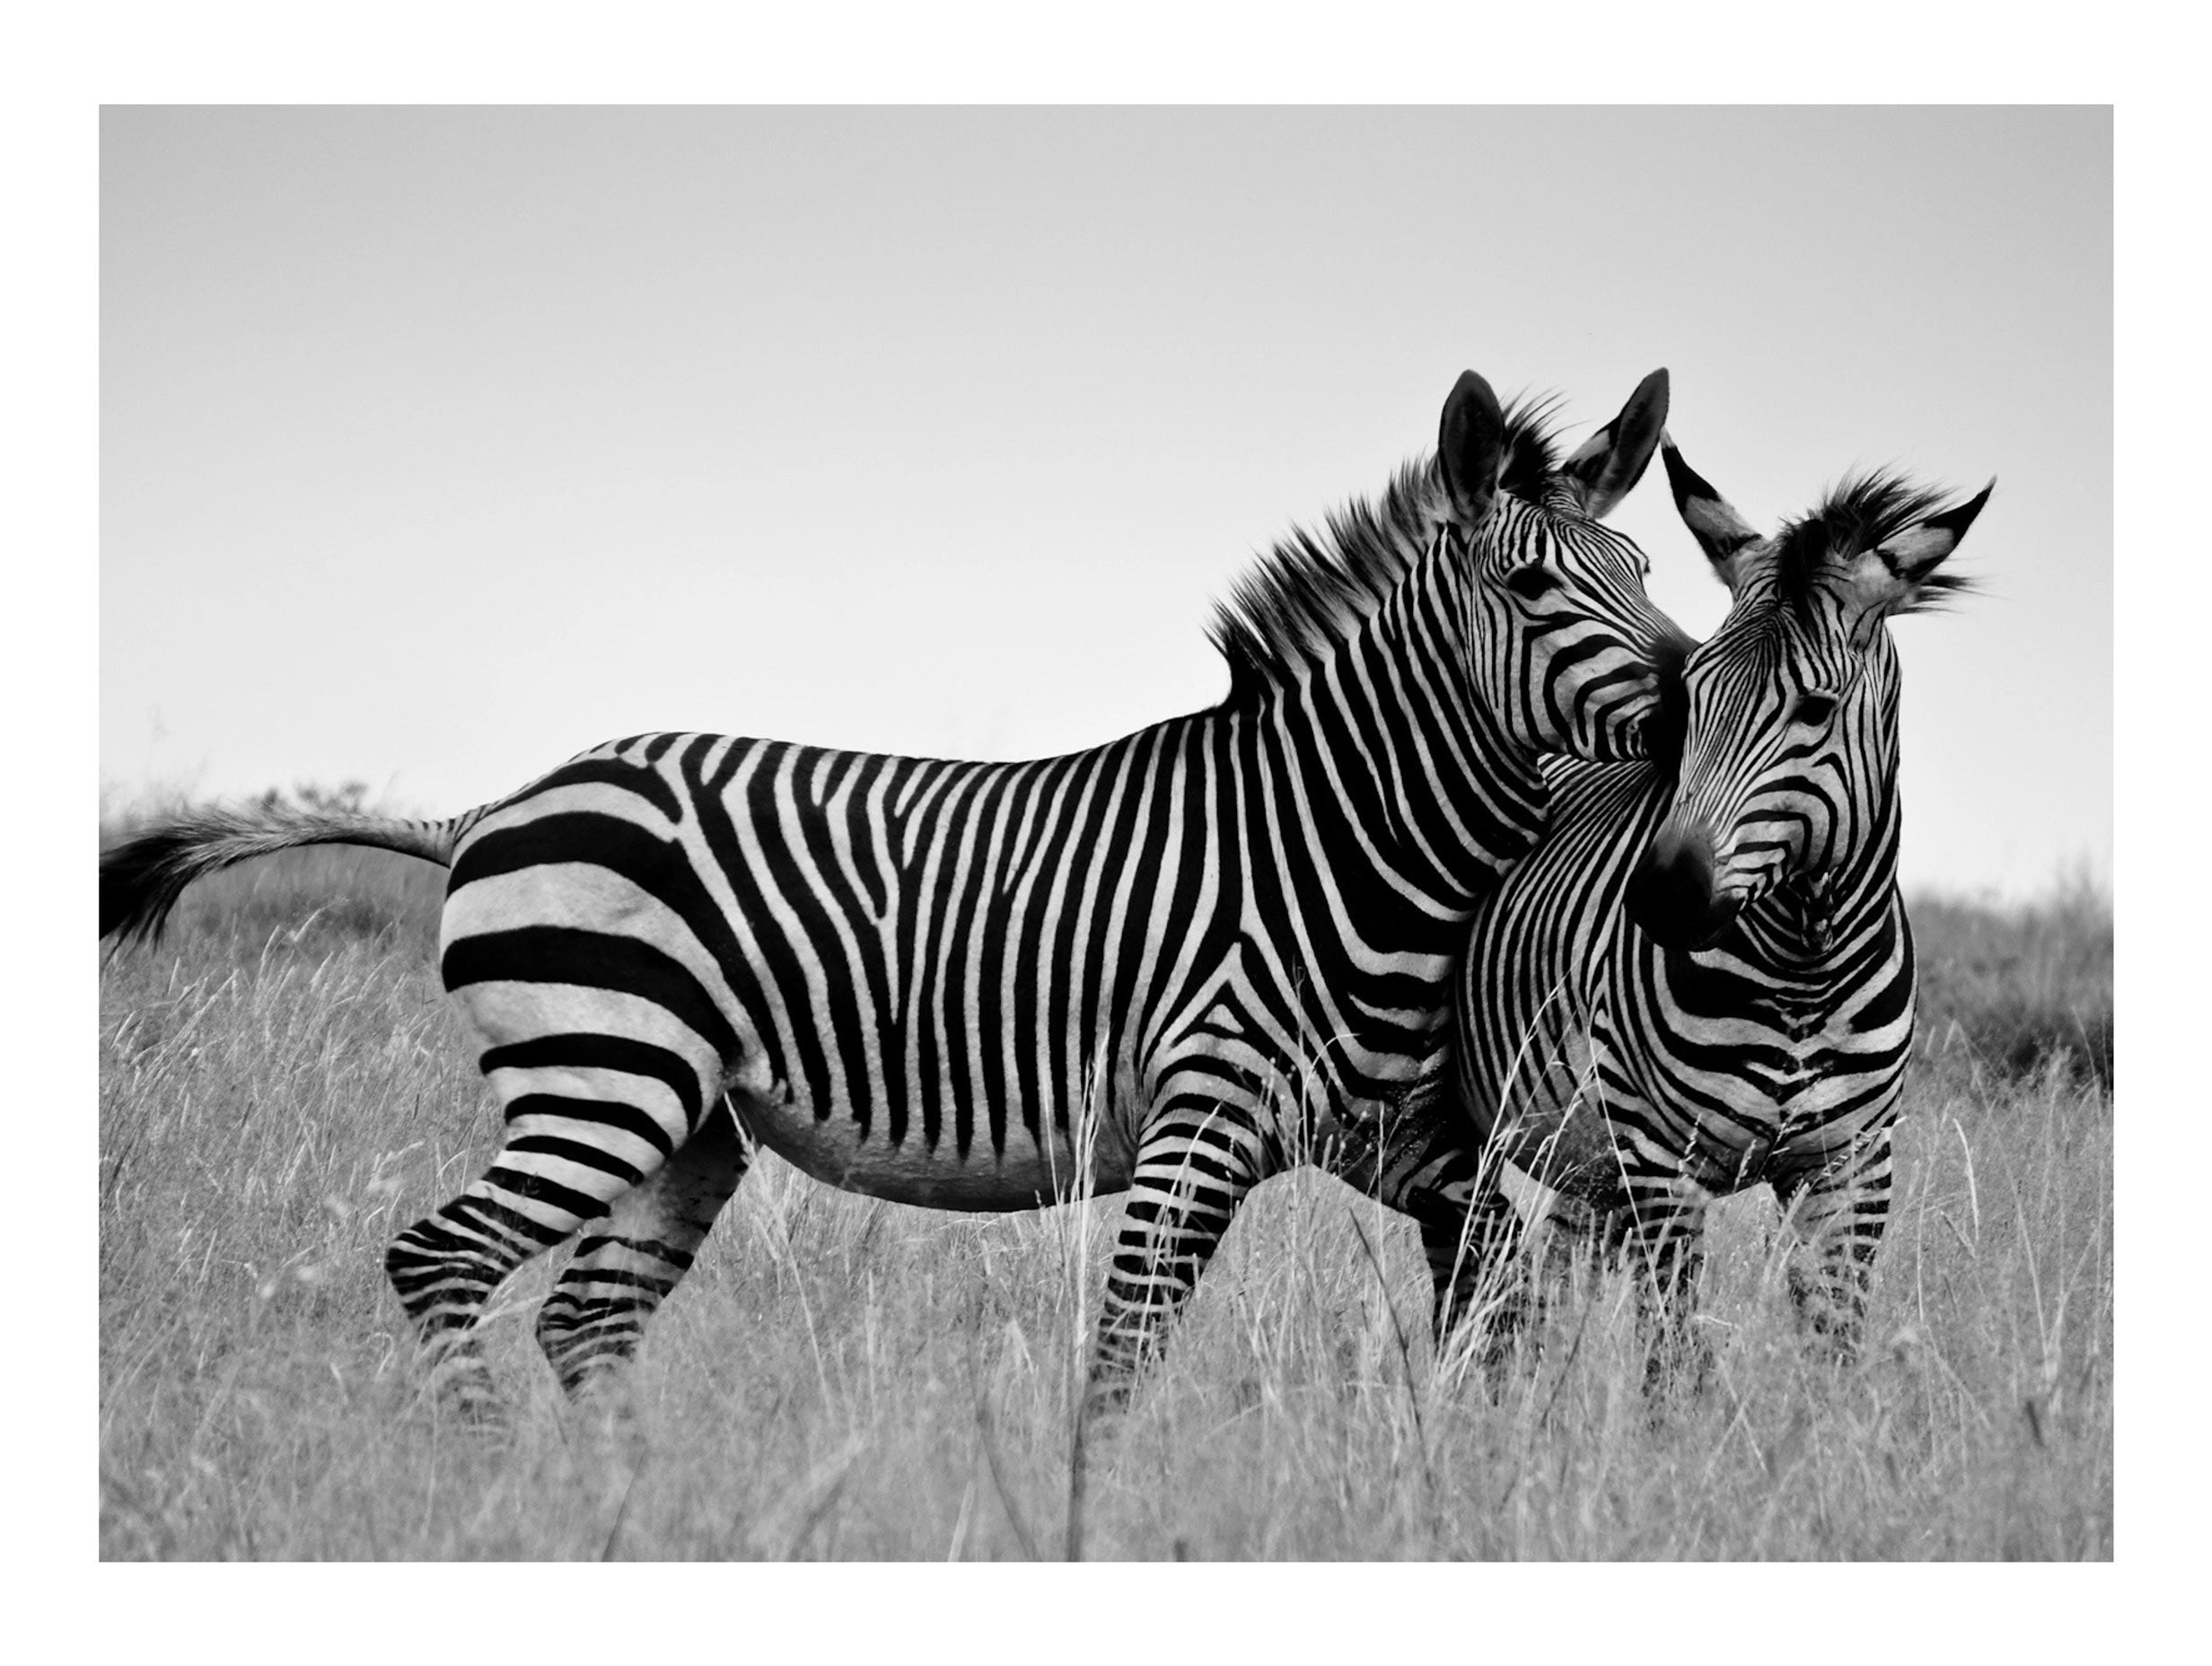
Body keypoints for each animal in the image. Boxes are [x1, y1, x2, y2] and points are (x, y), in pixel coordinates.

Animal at [100, 367, 1690, 1420]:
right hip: (603, 1076)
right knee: (441, 1263)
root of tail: (491, 805)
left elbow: (1504, 1292)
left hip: (686, 1122)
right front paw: (1096, 1512)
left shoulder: (1398, 1133)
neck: (1341, 835)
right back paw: (497, 1486)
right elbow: (1121, 1358)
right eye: (1538, 590)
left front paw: (1484, 1459)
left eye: (1643, 564)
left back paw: (620, 1508)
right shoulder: (1199, 1128)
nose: (1694, 699)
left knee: (582, 1322)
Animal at [1439, 435, 1991, 1382]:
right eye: (1691, 694)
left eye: (1817, 708)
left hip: (1582, 1157)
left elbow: (1832, 1356)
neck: (1805, 962)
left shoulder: (1852, 1168)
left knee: (1548, 1284)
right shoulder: (1664, 1163)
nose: (1660, 894)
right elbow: (1674, 1367)